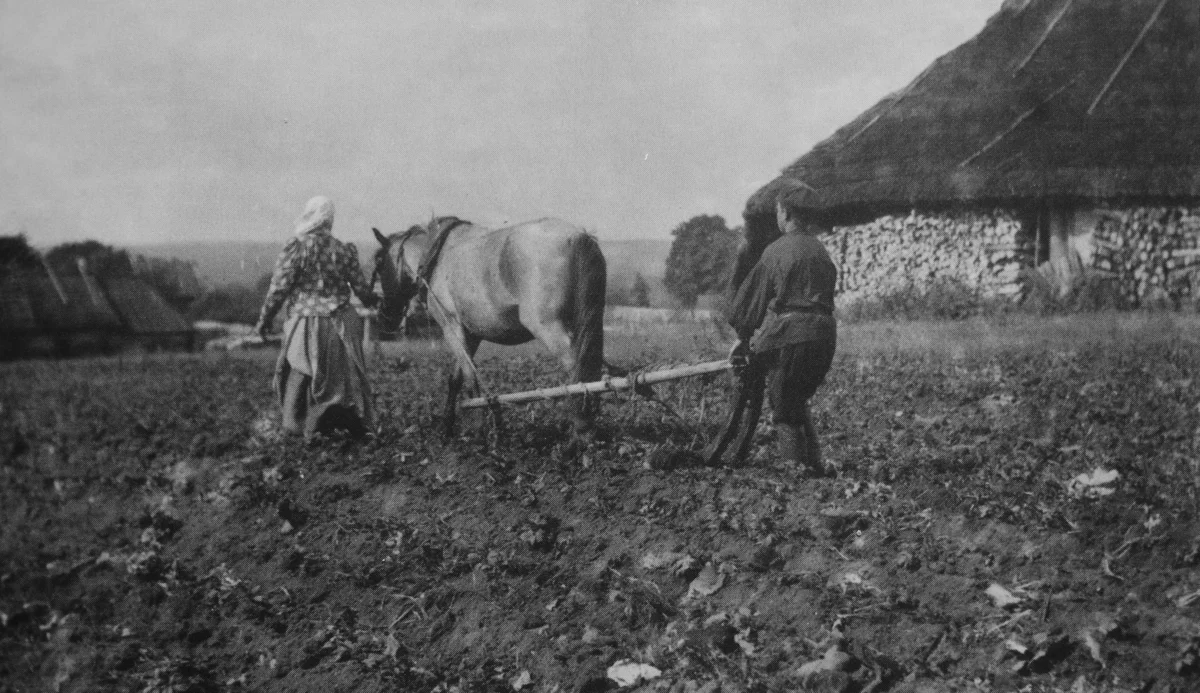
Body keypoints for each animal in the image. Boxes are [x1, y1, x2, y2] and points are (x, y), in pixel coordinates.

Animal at [372, 214, 609, 436]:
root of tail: (578, 237)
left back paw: (582, 425)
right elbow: (456, 378)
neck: (436, 257)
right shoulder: (471, 334)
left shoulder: (451, 327)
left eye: (379, 263)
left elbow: (470, 378)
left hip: (547, 326)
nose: (385, 316)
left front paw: (478, 427)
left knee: (576, 366)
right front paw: (447, 425)